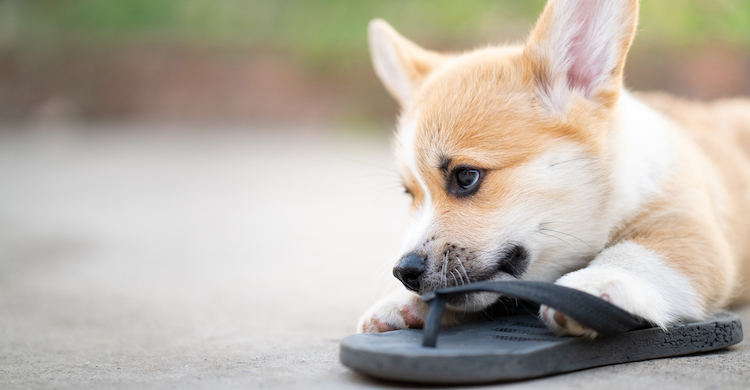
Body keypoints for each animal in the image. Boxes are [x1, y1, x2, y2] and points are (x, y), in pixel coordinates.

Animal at [356, 0, 750, 338]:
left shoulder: (688, 227)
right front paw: (402, 304)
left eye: (466, 176)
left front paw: (595, 283)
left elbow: (637, 255)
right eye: (410, 193)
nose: (405, 273)